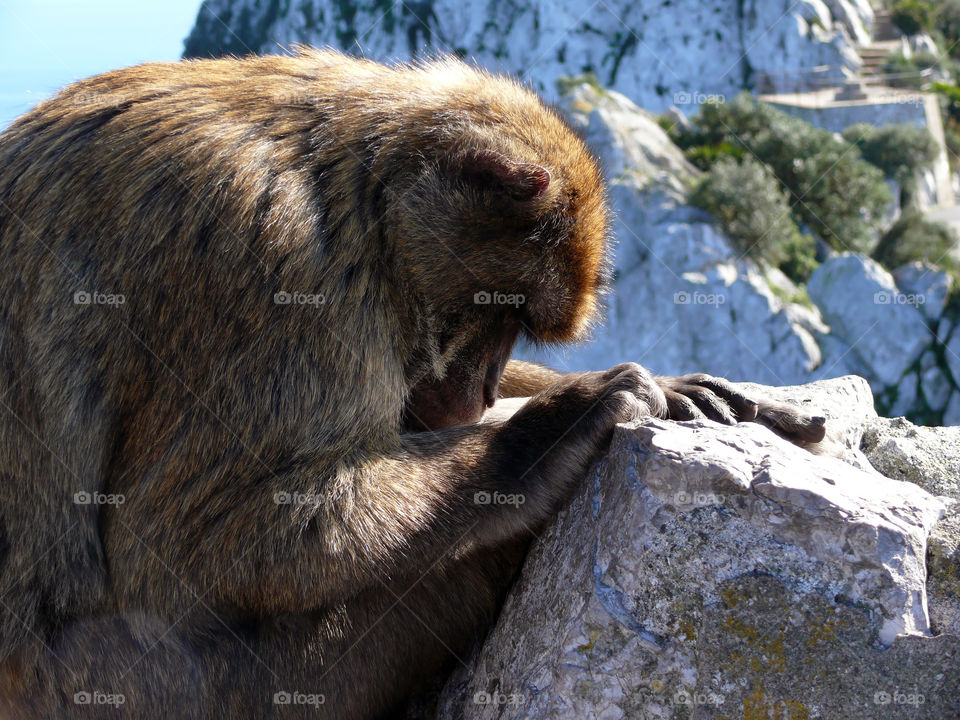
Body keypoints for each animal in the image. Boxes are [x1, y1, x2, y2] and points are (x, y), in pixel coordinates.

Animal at [0, 47, 824, 716]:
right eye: (500, 309)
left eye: (518, 325)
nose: (485, 392)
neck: (349, 193)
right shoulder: (268, 260)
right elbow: (178, 552)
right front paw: (547, 431)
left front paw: (680, 387)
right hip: (185, 690)